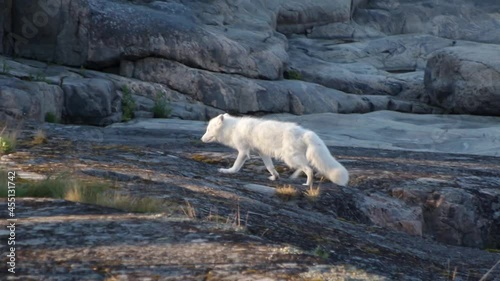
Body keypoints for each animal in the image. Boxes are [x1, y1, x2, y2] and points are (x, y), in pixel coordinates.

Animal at [201, 111, 350, 186]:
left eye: (208, 130)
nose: (201, 139)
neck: (232, 128)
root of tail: (305, 132)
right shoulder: (262, 153)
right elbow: (269, 166)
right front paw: (275, 176)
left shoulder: (243, 151)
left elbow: (236, 165)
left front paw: (228, 171)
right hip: (292, 158)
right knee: (305, 166)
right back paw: (293, 177)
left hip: (289, 157)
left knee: (309, 169)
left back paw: (307, 184)